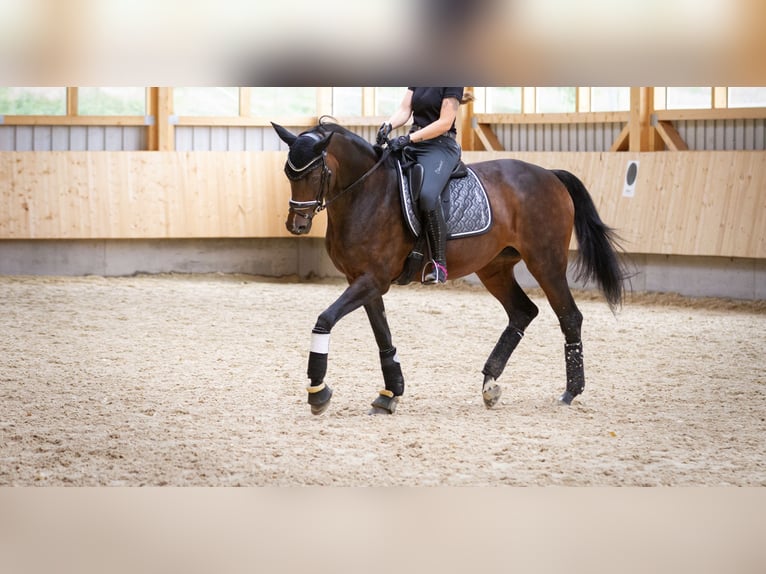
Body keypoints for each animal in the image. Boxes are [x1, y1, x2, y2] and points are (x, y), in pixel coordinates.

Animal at [272, 119, 628, 416]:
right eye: (288, 174)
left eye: (313, 175)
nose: (296, 225)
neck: (365, 193)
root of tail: (550, 175)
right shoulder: (362, 280)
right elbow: (382, 334)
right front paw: (390, 393)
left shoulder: (373, 279)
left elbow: (325, 319)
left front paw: (317, 391)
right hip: (495, 268)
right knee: (523, 312)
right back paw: (489, 384)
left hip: (546, 261)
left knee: (569, 317)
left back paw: (570, 392)